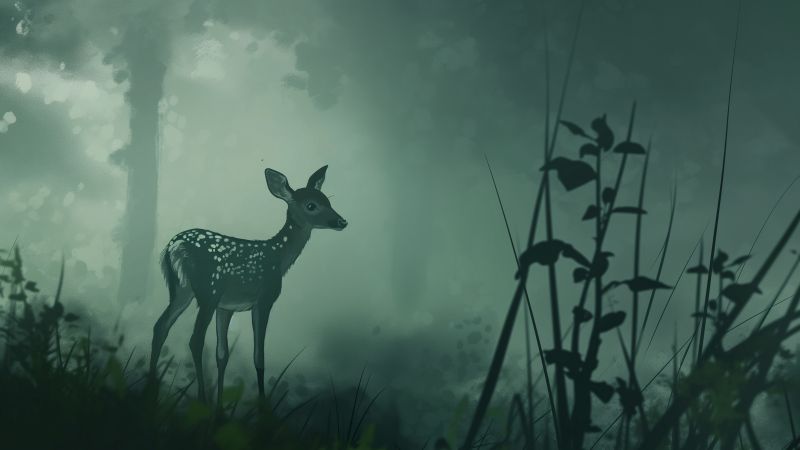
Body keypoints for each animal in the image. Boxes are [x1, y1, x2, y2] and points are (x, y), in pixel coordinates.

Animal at [149, 165, 347, 405]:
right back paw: (200, 399)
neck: (278, 259)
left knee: (161, 326)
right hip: (208, 290)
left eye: (327, 200)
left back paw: (150, 391)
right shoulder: (264, 299)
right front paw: (262, 406)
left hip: (181, 289)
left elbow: (222, 354)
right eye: (311, 205)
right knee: (195, 339)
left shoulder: (226, 307)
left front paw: (220, 408)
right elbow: (259, 356)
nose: (342, 222)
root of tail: (174, 246)